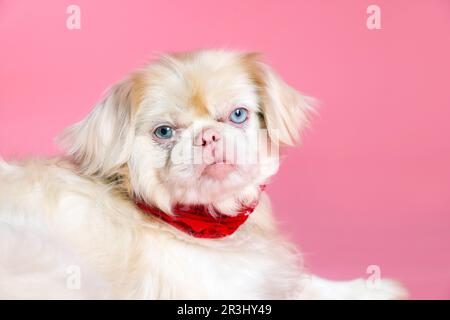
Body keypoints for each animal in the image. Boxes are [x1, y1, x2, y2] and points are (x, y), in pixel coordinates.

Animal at [0, 50, 408, 300]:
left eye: (238, 115)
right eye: (164, 132)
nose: (208, 136)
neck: (209, 223)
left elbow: (305, 282)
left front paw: (371, 287)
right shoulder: (224, 288)